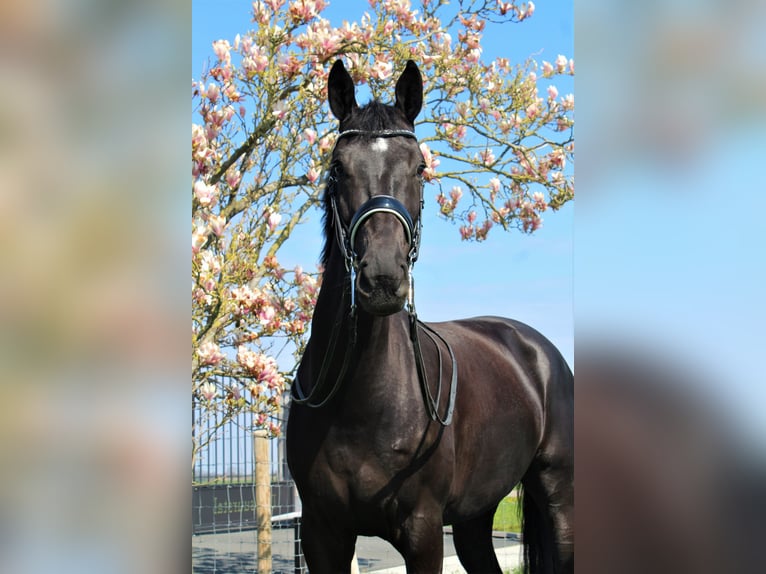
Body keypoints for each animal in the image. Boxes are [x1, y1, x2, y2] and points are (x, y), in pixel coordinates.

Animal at [288, 60, 576, 572]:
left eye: (420, 167)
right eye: (338, 168)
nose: (383, 277)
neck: (360, 401)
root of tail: (540, 351)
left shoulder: (423, 533)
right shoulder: (323, 534)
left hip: (557, 491)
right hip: (476, 516)